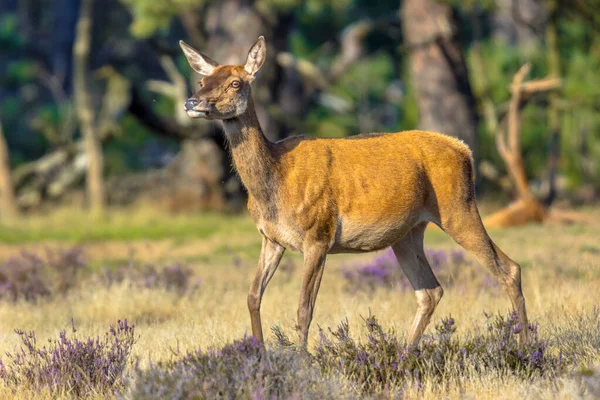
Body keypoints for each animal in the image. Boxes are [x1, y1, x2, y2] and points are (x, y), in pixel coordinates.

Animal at [179, 38, 528, 350]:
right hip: (408, 232)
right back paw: (405, 354)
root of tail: (465, 151)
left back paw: (525, 344)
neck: (275, 183)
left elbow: (304, 309)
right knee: (430, 290)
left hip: (458, 207)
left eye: (235, 82)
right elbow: (253, 297)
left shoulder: (318, 235)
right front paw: (260, 357)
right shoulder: (271, 238)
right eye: (202, 80)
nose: (192, 102)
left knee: (508, 268)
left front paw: (301, 362)